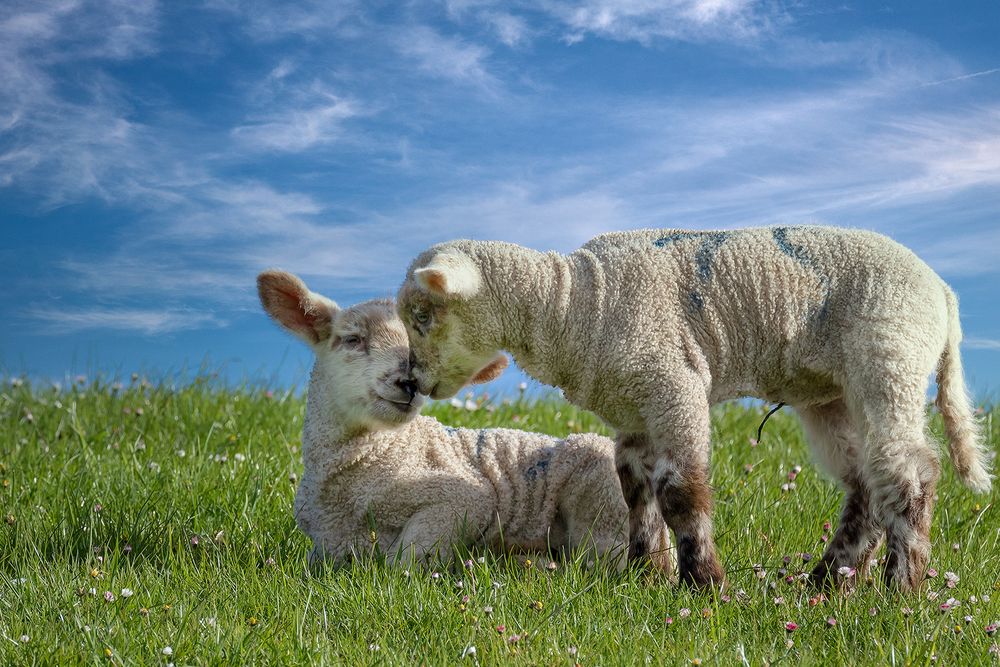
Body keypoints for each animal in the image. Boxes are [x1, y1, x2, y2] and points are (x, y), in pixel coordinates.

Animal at [256, 272, 672, 568]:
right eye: (352, 339)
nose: (408, 383)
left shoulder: (464, 497)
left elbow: (404, 559)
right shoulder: (321, 544)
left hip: (601, 501)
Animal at [398, 226, 992, 596]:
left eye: (423, 316)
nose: (412, 381)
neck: (571, 306)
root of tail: (943, 292)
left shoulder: (673, 383)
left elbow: (680, 492)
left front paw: (703, 583)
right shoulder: (634, 406)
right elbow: (636, 490)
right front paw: (646, 574)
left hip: (889, 357)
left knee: (909, 472)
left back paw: (900, 587)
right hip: (833, 394)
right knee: (866, 481)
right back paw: (829, 579)